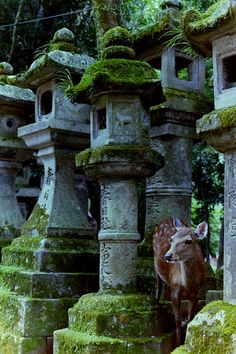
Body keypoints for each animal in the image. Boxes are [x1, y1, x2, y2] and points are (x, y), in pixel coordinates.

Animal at [152, 216, 207, 346]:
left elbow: (190, 318)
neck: (187, 286)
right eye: (171, 239)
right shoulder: (175, 291)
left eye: (189, 241)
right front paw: (177, 344)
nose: (168, 256)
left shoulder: (197, 294)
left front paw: (186, 340)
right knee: (158, 280)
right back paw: (156, 301)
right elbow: (177, 320)